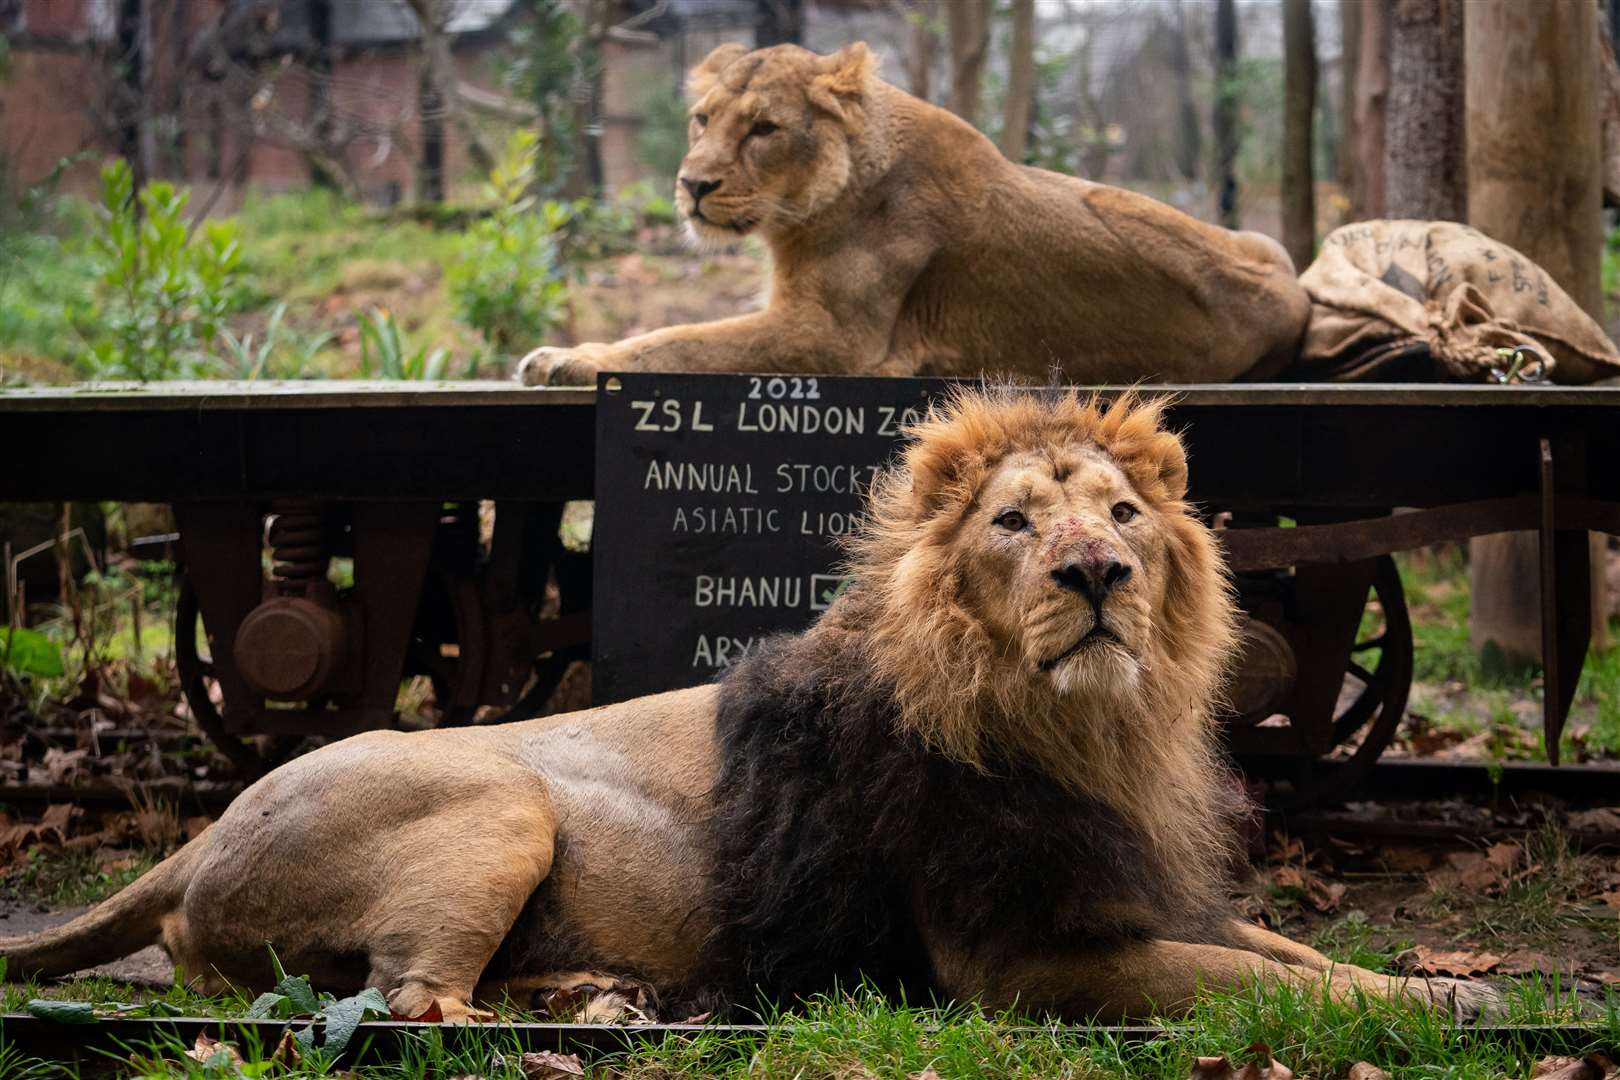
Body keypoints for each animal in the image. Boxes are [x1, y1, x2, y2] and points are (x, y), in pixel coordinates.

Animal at [3, 390, 1490, 1023]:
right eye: (1015, 523)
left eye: (1122, 515)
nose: (1097, 573)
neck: (1083, 727)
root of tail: (197, 840)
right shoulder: (1017, 959)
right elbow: (1252, 980)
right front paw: (1434, 1010)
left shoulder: (1131, 885)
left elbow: (1282, 950)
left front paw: (1429, 982)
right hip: (498, 801)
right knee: (407, 1002)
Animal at [524, 47, 1308, 393]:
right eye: (702, 119)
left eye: (764, 128)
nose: (691, 185)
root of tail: (1298, 299)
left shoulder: (834, 338)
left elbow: (682, 341)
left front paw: (569, 357)